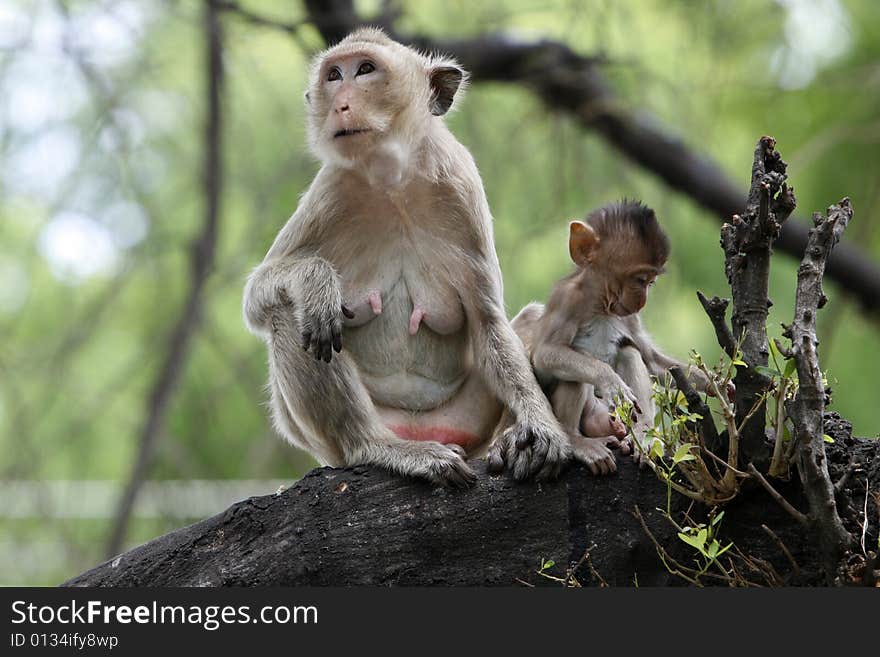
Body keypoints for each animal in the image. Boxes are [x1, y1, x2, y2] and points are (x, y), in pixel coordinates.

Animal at [244, 28, 568, 484]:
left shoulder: (461, 186)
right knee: (290, 313)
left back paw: (506, 441)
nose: (341, 103)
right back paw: (378, 447)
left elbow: (488, 322)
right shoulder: (330, 191)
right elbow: (258, 298)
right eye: (333, 76)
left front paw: (542, 426)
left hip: (463, 420)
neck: (392, 182)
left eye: (365, 70)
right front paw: (316, 282)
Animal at [512, 197, 712, 474]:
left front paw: (713, 383)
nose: (642, 300)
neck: (601, 305)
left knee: (629, 352)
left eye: (651, 282)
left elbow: (651, 360)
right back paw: (577, 441)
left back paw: (642, 434)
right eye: (640, 279)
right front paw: (609, 379)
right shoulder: (567, 299)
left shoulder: (629, 317)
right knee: (574, 373)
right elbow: (546, 353)